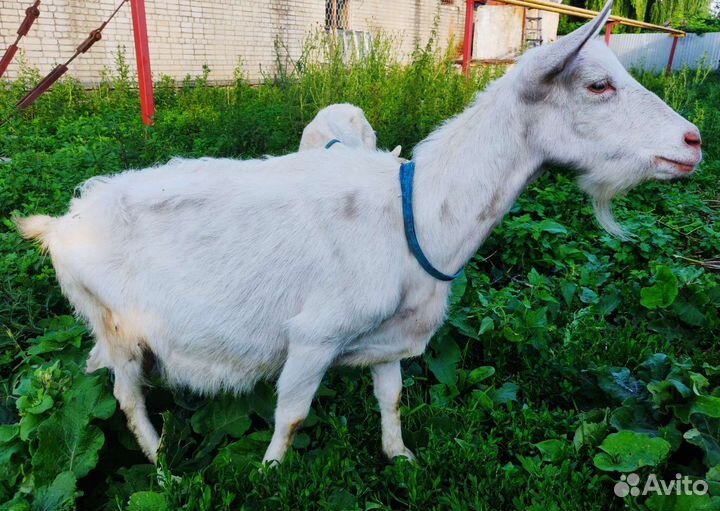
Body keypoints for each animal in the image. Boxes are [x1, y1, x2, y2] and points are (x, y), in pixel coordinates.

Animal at [16, 0, 701, 465]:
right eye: (597, 84)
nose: (693, 141)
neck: (418, 216)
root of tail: (61, 223)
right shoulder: (313, 337)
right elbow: (291, 417)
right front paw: (269, 475)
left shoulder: (391, 340)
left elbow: (391, 400)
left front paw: (402, 459)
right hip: (115, 326)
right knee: (128, 398)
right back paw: (162, 466)